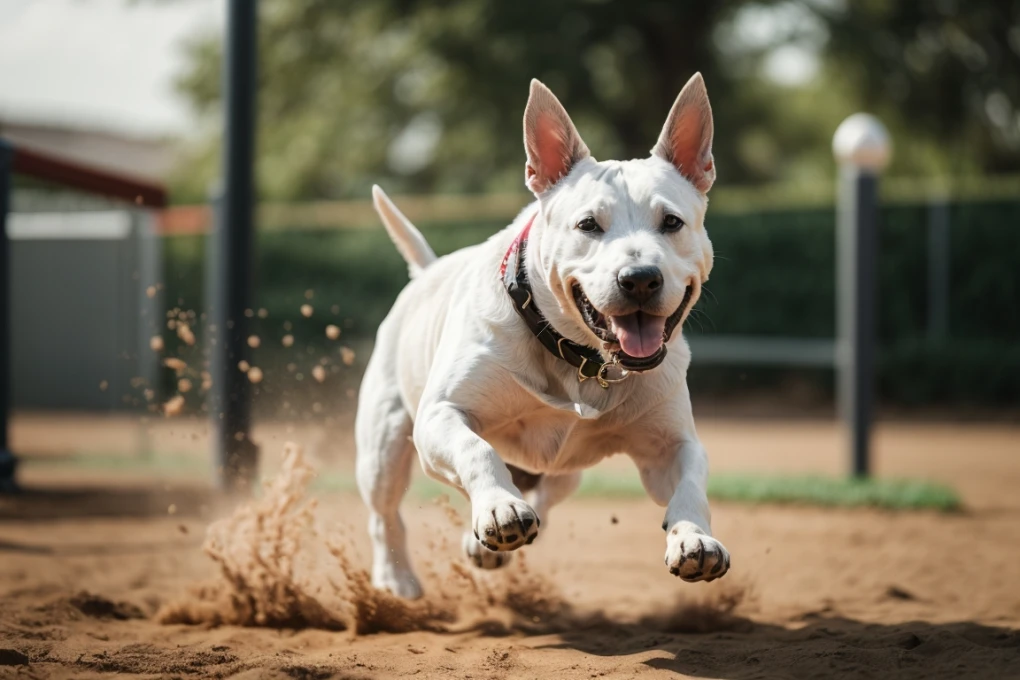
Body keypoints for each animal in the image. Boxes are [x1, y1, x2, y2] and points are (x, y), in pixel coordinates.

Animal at [357, 71, 726, 599]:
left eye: (671, 221)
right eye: (588, 224)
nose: (639, 278)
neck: (579, 359)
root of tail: (427, 271)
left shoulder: (668, 443)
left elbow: (692, 477)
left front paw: (695, 540)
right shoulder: (439, 416)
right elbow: (476, 447)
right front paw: (500, 509)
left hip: (566, 470)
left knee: (549, 493)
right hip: (384, 442)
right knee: (384, 512)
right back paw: (397, 580)